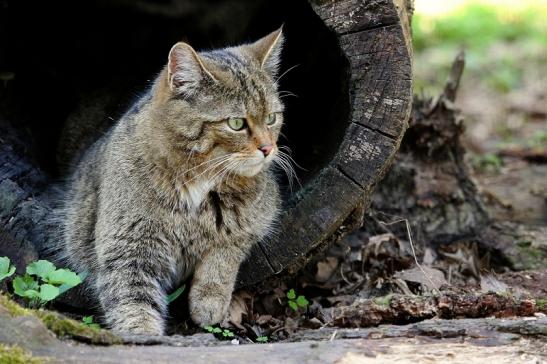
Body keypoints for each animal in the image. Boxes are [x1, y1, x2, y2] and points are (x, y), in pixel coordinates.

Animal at [56, 29, 286, 334]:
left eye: (272, 118)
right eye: (236, 123)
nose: (268, 148)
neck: (199, 180)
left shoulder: (258, 217)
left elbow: (224, 252)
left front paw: (209, 301)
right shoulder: (127, 249)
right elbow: (133, 302)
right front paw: (143, 334)